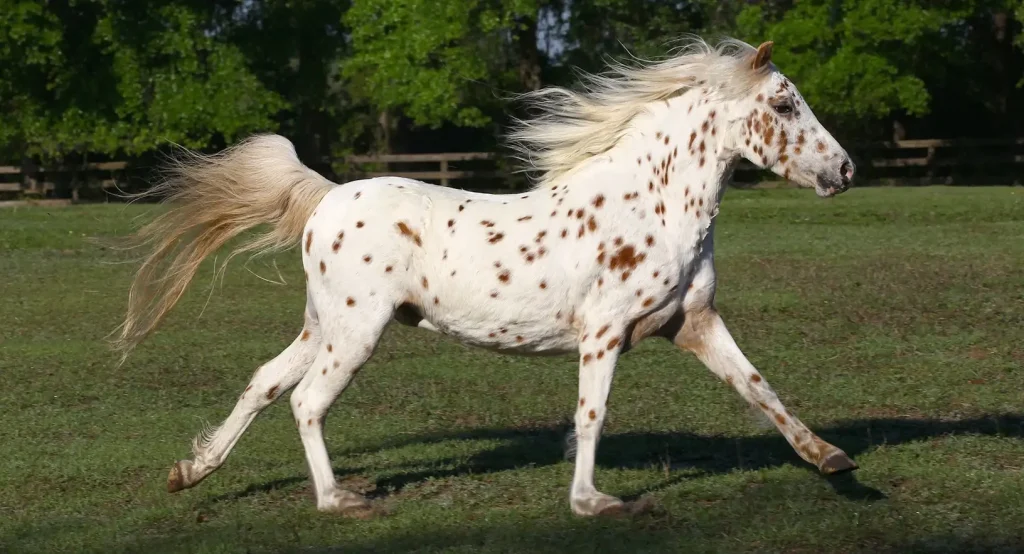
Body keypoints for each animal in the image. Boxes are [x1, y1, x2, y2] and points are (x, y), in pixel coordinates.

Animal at [114, 36, 856, 516]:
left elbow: (761, 389)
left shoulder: (694, 324)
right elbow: (592, 415)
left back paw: (191, 471)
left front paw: (833, 460)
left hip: (322, 325)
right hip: (356, 330)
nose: (844, 170)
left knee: (266, 383)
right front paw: (592, 501)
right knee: (306, 402)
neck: (653, 204)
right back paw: (337, 500)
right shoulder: (604, 333)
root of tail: (325, 198)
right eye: (785, 104)